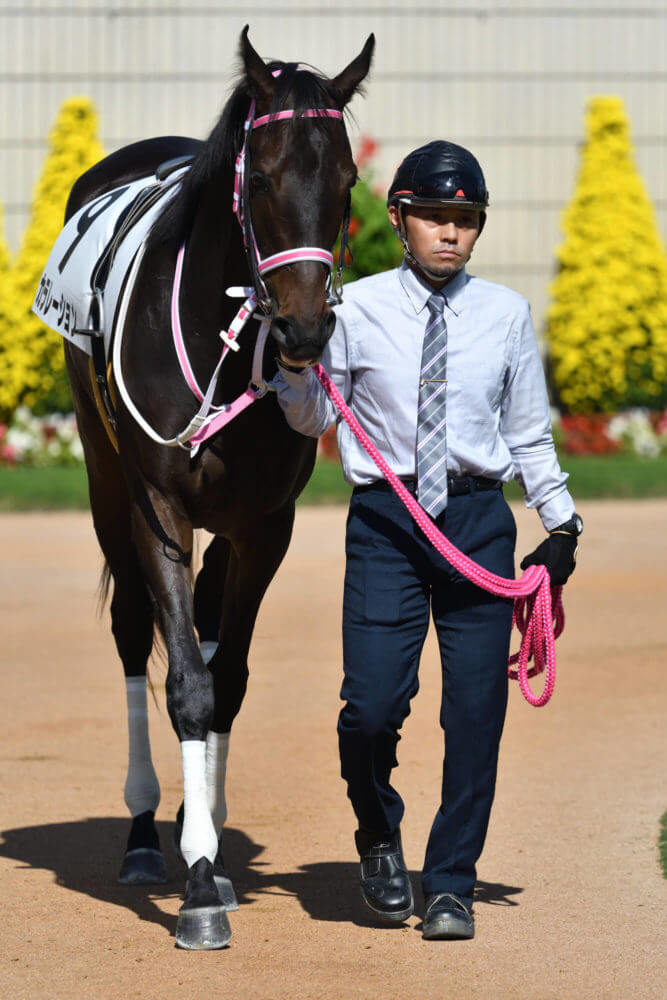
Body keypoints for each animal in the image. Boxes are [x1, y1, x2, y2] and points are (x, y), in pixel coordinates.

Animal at [62, 27, 374, 948]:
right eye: (261, 177)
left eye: (346, 183)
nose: (305, 331)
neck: (218, 341)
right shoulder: (155, 508)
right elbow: (187, 684)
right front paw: (197, 884)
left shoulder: (263, 525)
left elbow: (224, 678)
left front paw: (215, 853)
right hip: (105, 483)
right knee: (135, 634)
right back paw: (142, 833)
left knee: (199, 631)